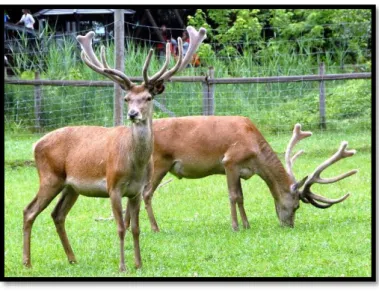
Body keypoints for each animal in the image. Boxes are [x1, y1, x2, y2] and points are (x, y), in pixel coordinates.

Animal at [22, 26, 208, 272]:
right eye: (127, 98)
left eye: (148, 97)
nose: (133, 114)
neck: (135, 164)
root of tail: (35, 144)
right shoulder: (113, 186)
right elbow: (120, 228)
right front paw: (122, 266)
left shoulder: (137, 190)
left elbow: (135, 228)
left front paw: (139, 264)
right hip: (50, 177)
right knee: (29, 211)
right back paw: (27, 262)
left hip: (71, 186)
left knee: (57, 214)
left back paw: (72, 258)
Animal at [125, 115, 360, 232]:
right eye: (296, 206)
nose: (289, 225)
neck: (255, 152)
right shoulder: (230, 161)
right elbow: (233, 196)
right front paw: (236, 226)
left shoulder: (240, 169)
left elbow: (241, 198)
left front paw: (247, 224)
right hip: (159, 163)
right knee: (146, 194)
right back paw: (155, 228)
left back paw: (128, 227)